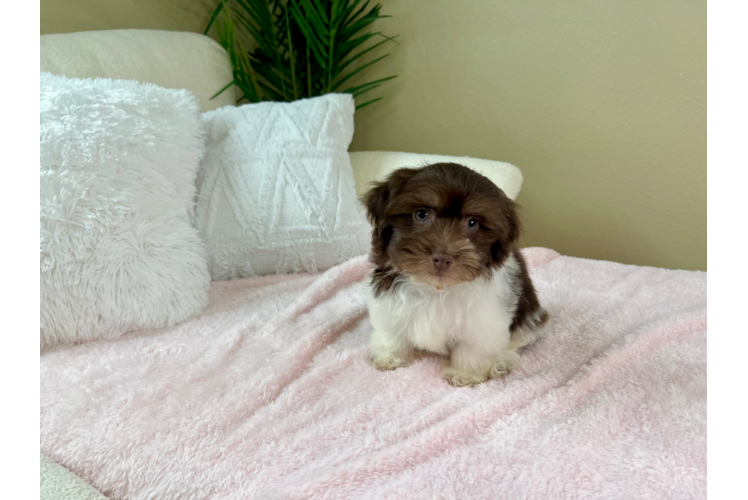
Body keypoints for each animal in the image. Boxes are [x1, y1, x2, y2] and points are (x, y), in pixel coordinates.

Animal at [360, 163, 548, 386]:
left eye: (472, 223)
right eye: (421, 214)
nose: (442, 258)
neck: (435, 288)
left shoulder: (485, 317)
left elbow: (473, 345)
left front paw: (465, 373)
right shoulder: (389, 303)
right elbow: (392, 330)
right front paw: (390, 356)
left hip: (530, 316)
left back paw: (500, 361)